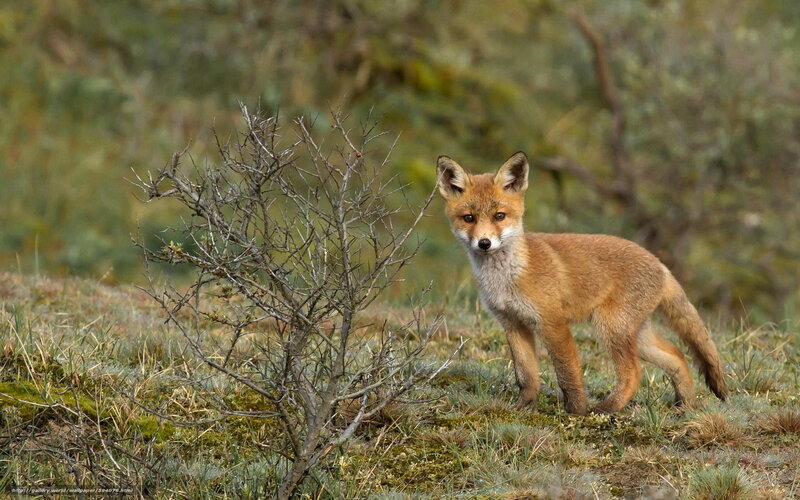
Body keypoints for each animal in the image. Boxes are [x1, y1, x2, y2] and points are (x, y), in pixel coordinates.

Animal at [436, 151, 727, 415]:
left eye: (499, 216)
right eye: (469, 218)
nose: (484, 243)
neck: (507, 278)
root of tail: (660, 264)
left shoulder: (553, 323)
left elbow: (568, 373)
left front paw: (576, 412)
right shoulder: (513, 323)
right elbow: (526, 376)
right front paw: (523, 408)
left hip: (611, 327)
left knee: (634, 372)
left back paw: (607, 408)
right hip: (636, 334)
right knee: (677, 356)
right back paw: (686, 406)